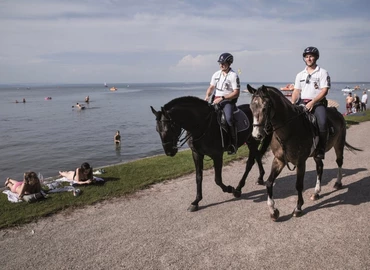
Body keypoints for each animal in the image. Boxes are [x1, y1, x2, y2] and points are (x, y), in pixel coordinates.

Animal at [246, 85, 362, 221]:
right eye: (251, 107)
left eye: (265, 108)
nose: (256, 135)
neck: (289, 130)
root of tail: (337, 112)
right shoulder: (279, 160)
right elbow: (269, 183)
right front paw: (273, 211)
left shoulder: (300, 162)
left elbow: (299, 185)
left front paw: (298, 208)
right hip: (317, 154)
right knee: (320, 167)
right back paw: (316, 192)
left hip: (339, 144)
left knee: (339, 162)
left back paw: (338, 183)